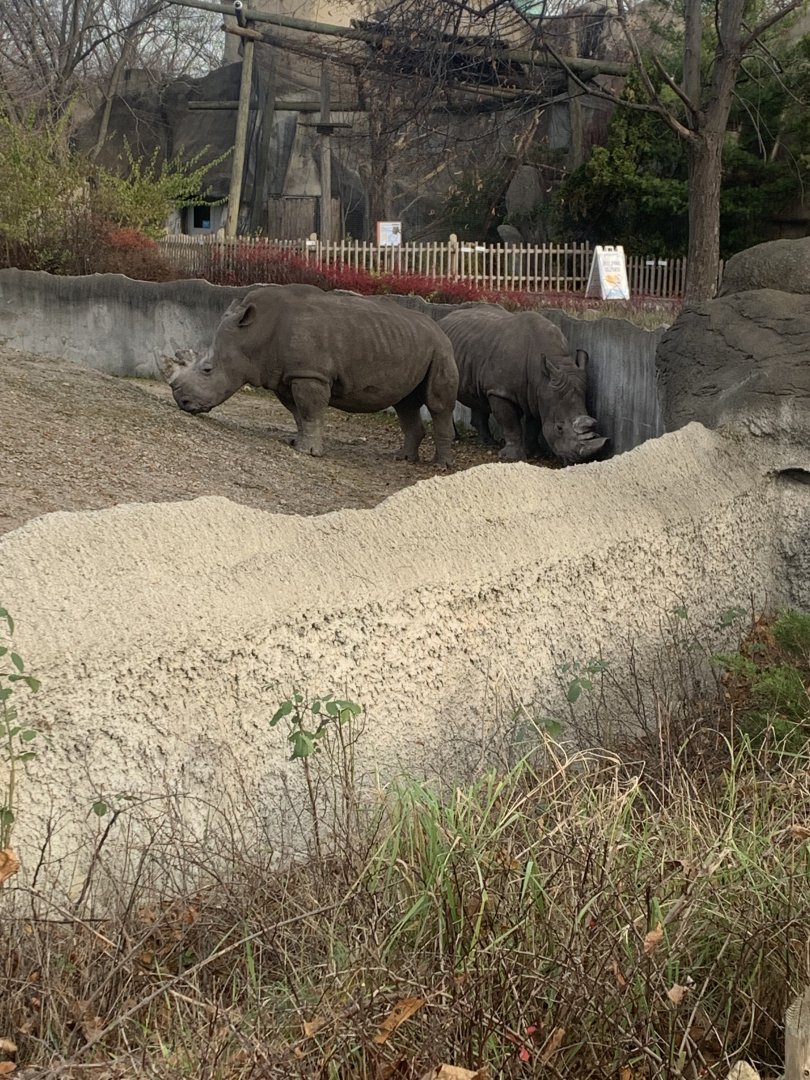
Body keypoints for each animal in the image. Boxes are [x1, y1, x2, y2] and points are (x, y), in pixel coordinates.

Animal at [159, 283, 459, 466]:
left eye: (207, 370)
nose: (183, 403)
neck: (253, 335)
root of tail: (439, 325)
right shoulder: (285, 376)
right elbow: (298, 413)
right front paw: (297, 443)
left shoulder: (310, 375)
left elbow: (311, 410)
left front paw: (308, 452)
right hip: (412, 345)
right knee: (405, 403)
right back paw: (403, 459)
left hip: (441, 348)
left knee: (437, 405)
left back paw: (440, 465)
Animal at [438, 306, 608, 465]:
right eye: (559, 428)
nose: (580, 461)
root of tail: (444, 319)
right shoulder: (500, 391)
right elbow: (509, 422)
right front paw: (512, 457)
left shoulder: (539, 394)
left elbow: (535, 426)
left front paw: (535, 454)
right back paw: (456, 438)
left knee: (478, 396)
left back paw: (486, 443)